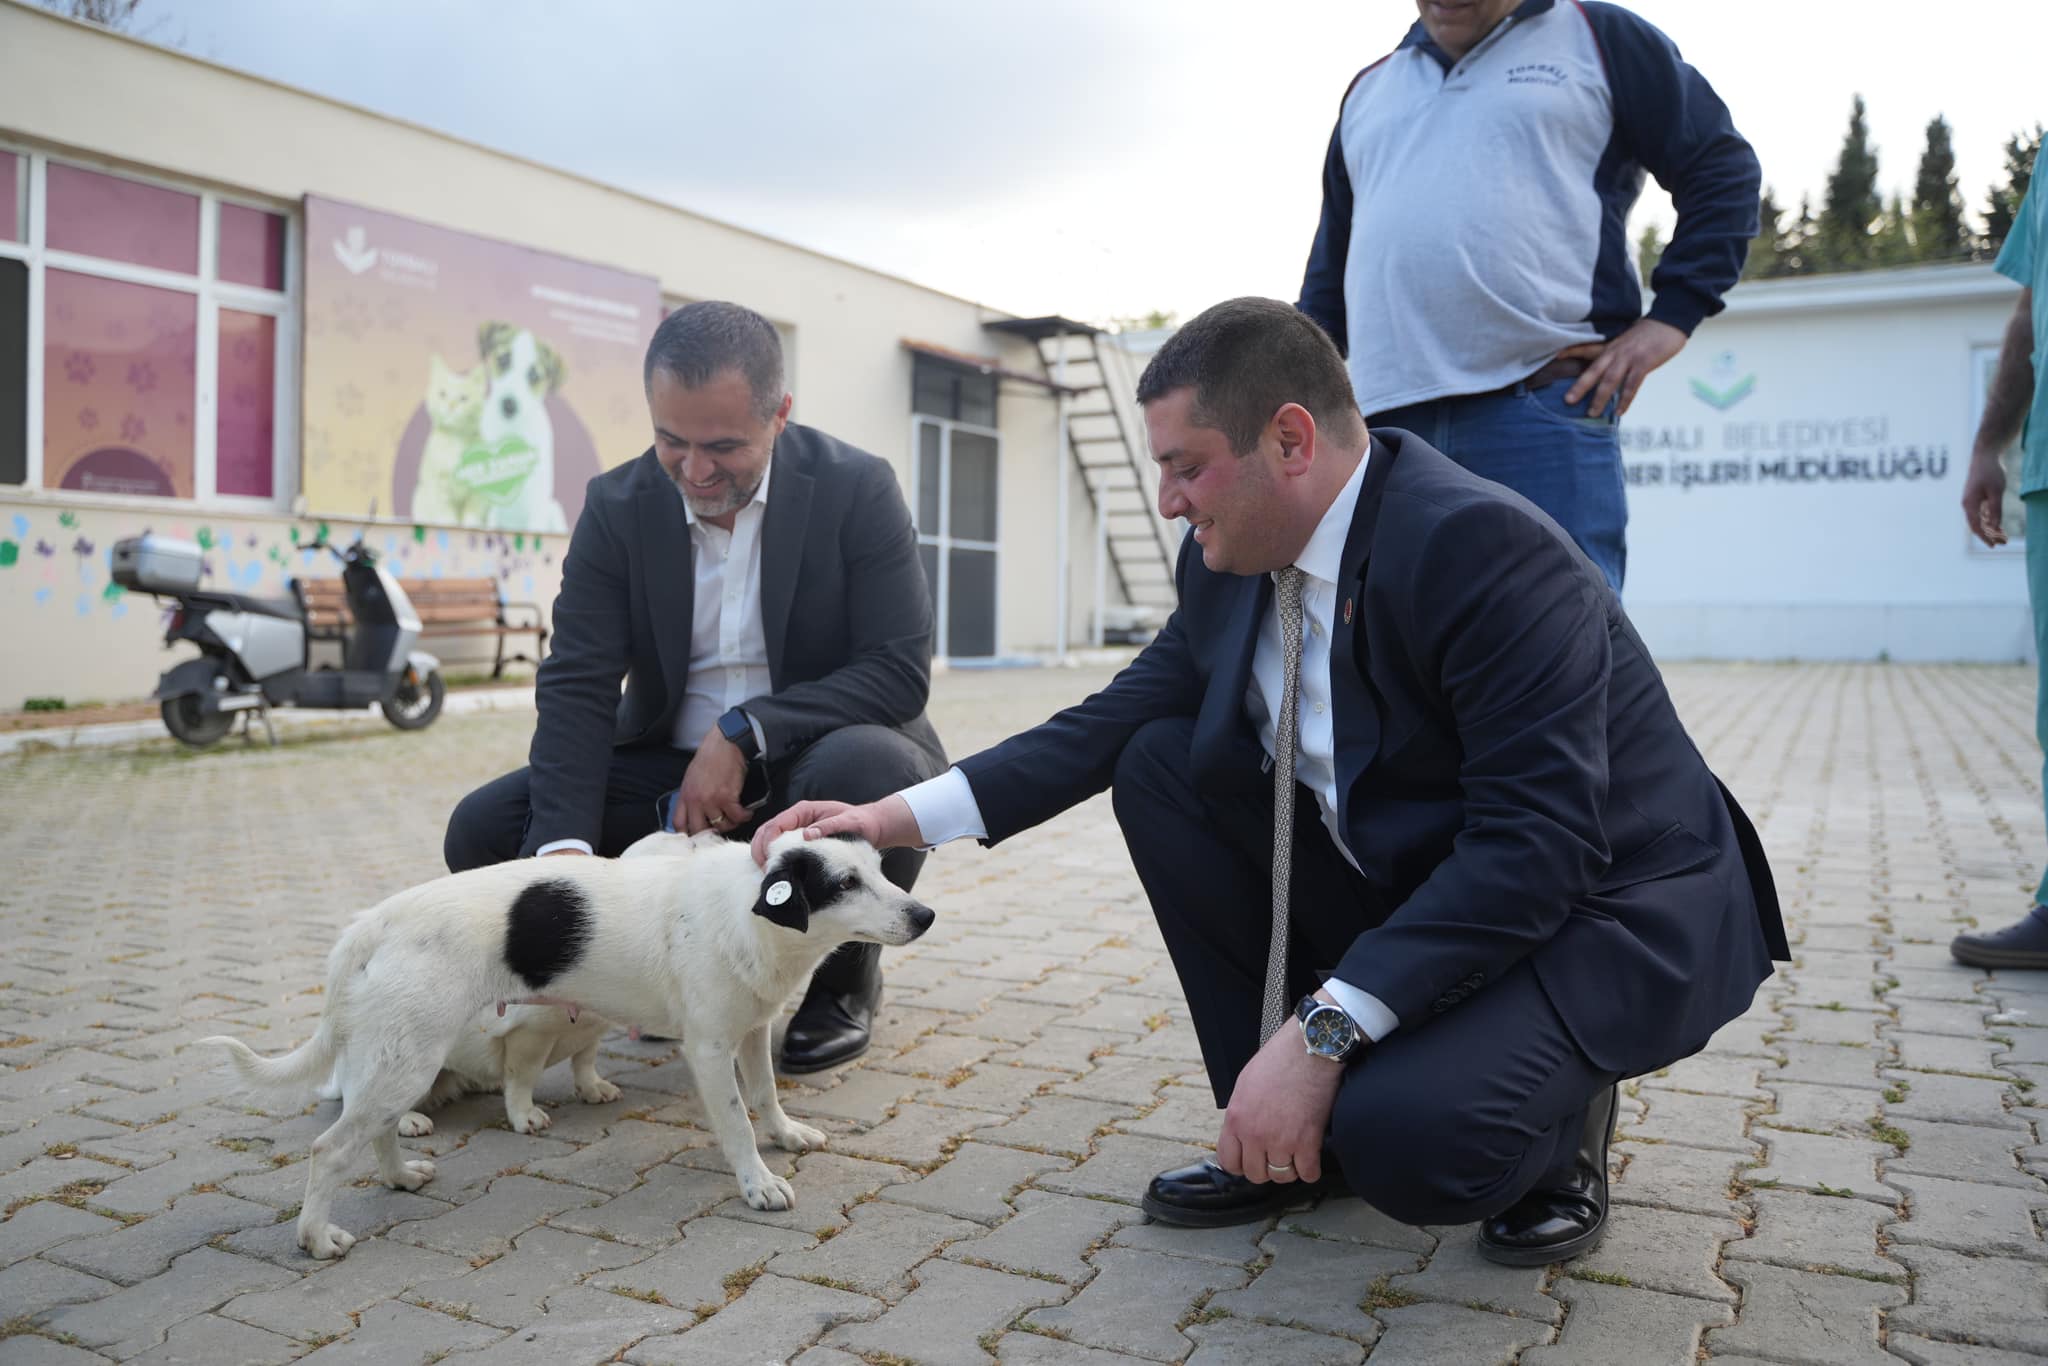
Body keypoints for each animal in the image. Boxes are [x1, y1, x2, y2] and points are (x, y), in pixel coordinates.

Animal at [195, 835, 933, 1261]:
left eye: (879, 870)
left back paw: (399, 1176)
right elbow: (737, 1126)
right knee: (329, 1149)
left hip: (403, 1058)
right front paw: (758, 1183)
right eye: (843, 883)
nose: (924, 915)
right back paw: (316, 1237)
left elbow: (768, 1098)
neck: (748, 909)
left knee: (372, 1132)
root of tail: (373, 921)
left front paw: (785, 1135)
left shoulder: (751, 1032)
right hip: (408, 1059)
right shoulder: (709, 1048)